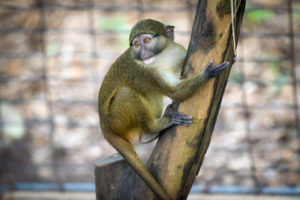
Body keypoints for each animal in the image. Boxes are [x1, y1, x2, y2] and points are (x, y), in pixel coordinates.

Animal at [98, 19, 227, 200]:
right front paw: (207, 74)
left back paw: (148, 134)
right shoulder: (146, 70)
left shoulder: (178, 51)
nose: (143, 53)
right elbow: (176, 92)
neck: (162, 56)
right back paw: (152, 129)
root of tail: (103, 126)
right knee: (126, 92)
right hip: (117, 120)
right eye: (136, 44)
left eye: (146, 41)